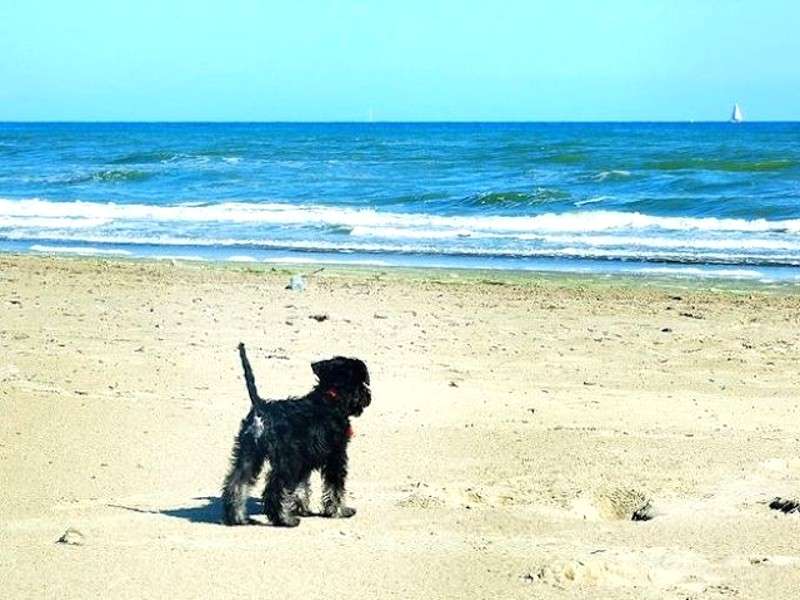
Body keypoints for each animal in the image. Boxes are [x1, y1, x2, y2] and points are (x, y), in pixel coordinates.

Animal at [222, 344, 372, 528]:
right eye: (361, 382)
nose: (368, 395)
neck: (331, 399)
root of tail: (261, 408)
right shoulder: (336, 456)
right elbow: (335, 486)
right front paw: (339, 511)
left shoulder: (305, 461)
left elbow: (301, 486)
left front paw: (301, 507)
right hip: (286, 461)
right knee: (274, 489)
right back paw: (284, 519)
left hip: (249, 454)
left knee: (237, 482)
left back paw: (237, 517)